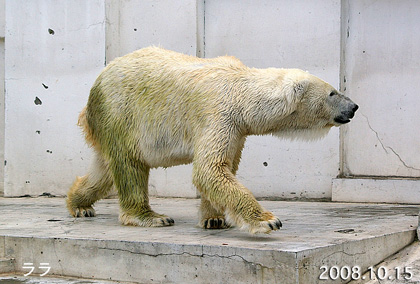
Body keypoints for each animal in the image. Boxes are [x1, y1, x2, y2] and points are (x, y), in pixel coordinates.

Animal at [65, 46, 358, 233]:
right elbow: (210, 169)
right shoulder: (219, 115)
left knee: (105, 170)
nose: (354, 106)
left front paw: (214, 219)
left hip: (111, 126)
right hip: (122, 113)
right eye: (332, 92)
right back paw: (151, 217)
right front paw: (268, 220)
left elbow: (223, 168)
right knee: (130, 166)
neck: (242, 93)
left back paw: (79, 205)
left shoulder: (237, 130)